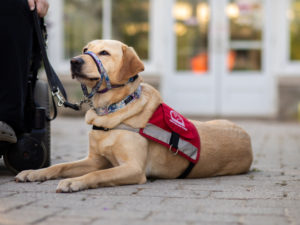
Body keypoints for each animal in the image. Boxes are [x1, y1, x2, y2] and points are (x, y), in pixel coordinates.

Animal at [14, 39, 253, 192]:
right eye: (85, 49)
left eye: (104, 53)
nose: (74, 61)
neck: (111, 109)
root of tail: (248, 141)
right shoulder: (96, 159)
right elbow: (61, 166)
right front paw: (34, 172)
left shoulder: (133, 168)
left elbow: (97, 175)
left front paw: (75, 182)